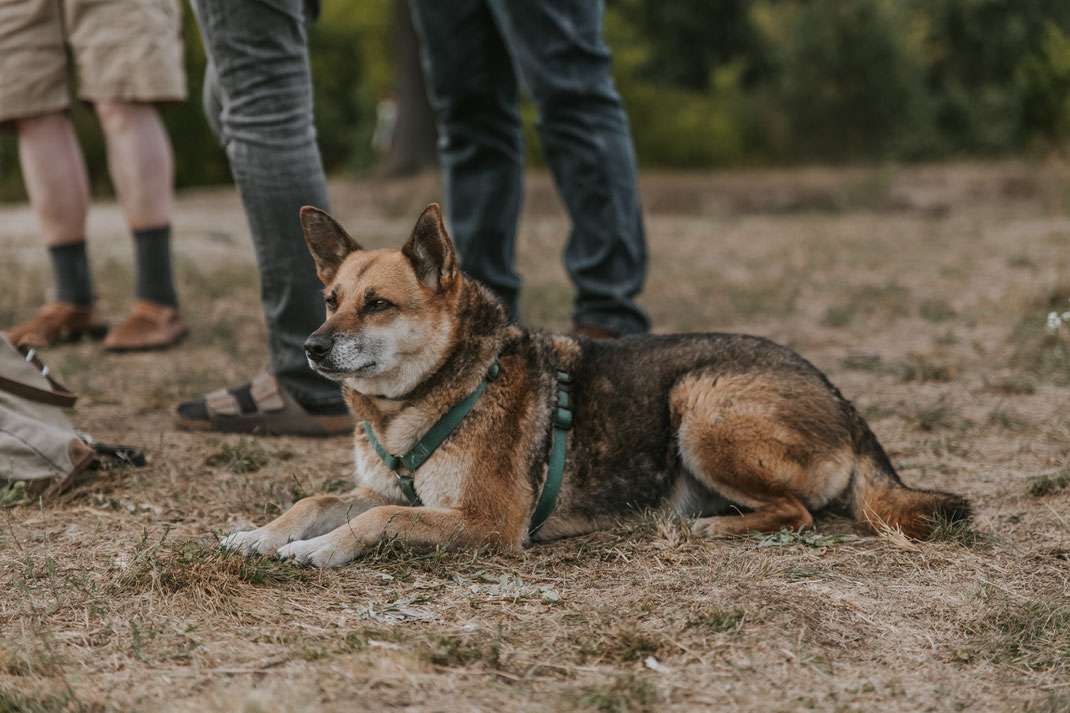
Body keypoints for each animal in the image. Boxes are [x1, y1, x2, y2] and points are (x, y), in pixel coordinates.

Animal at [219, 202, 971, 565]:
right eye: (330, 300)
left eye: (378, 304)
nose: (311, 348)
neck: (431, 391)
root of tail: (844, 400)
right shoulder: (381, 485)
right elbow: (318, 499)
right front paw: (261, 534)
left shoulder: (488, 523)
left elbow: (376, 520)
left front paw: (317, 550)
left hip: (698, 403)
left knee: (797, 512)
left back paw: (710, 527)